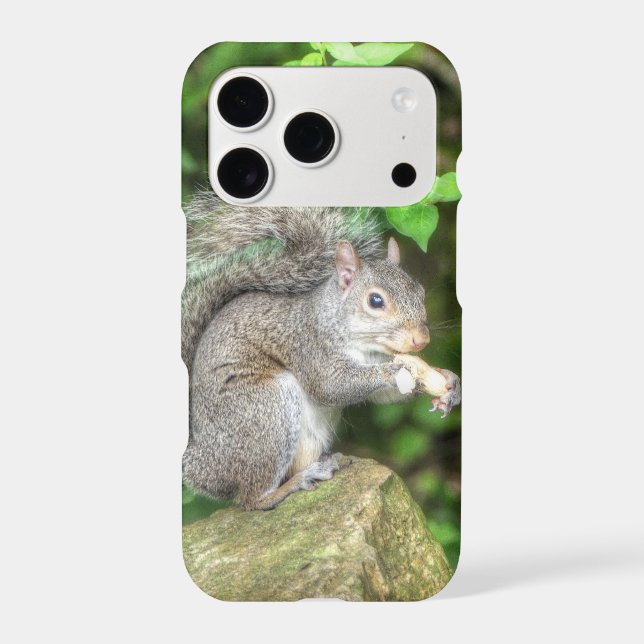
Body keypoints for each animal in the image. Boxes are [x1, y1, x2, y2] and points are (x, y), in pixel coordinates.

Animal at [182, 193, 461, 510]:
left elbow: (385, 397)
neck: (366, 349)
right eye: (375, 301)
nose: (421, 340)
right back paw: (293, 484)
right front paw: (395, 370)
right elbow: (330, 385)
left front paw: (449, 382)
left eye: (420, 292)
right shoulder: (309, 346)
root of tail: (200, 464)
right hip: (265, 409)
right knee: (251, 499)